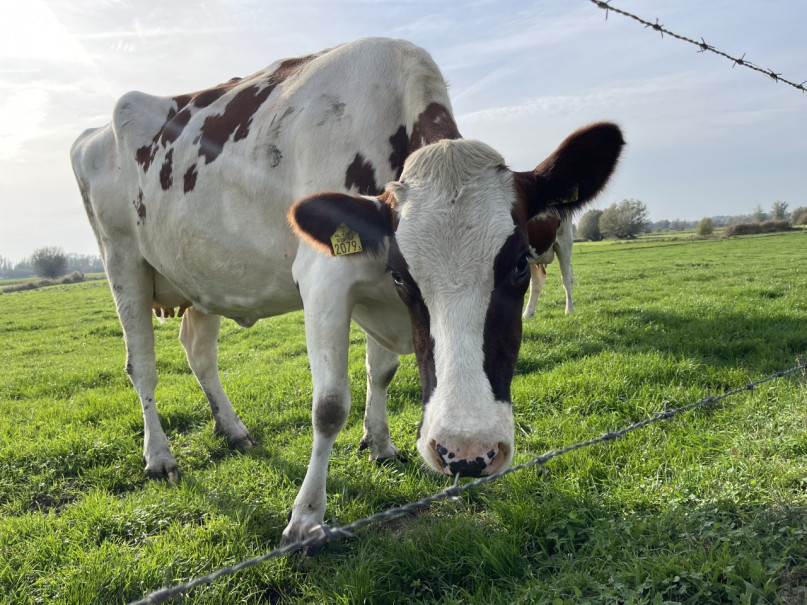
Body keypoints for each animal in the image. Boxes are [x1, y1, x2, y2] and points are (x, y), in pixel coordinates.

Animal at [70, 37, 623, 544]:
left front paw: (379, 443)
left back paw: (233, 429)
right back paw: (159, 456)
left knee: (199, 351)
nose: (466, 453)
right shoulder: (325, 281)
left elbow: (383, 372)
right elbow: (330, 405)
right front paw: (306, 519)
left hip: (202, 274)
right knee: (142, 367)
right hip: (122, 261)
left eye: (520, 265)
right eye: (404, 275)